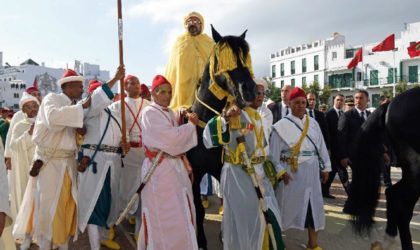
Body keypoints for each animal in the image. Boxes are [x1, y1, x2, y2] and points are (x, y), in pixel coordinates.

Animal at [186, 25, 256, 248]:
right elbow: (198, 209)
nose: (250, 90)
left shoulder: (221, 168)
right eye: (225, 59)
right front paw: (200, 241)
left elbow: (228, 202)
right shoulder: (194, 172)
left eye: (245, 58)